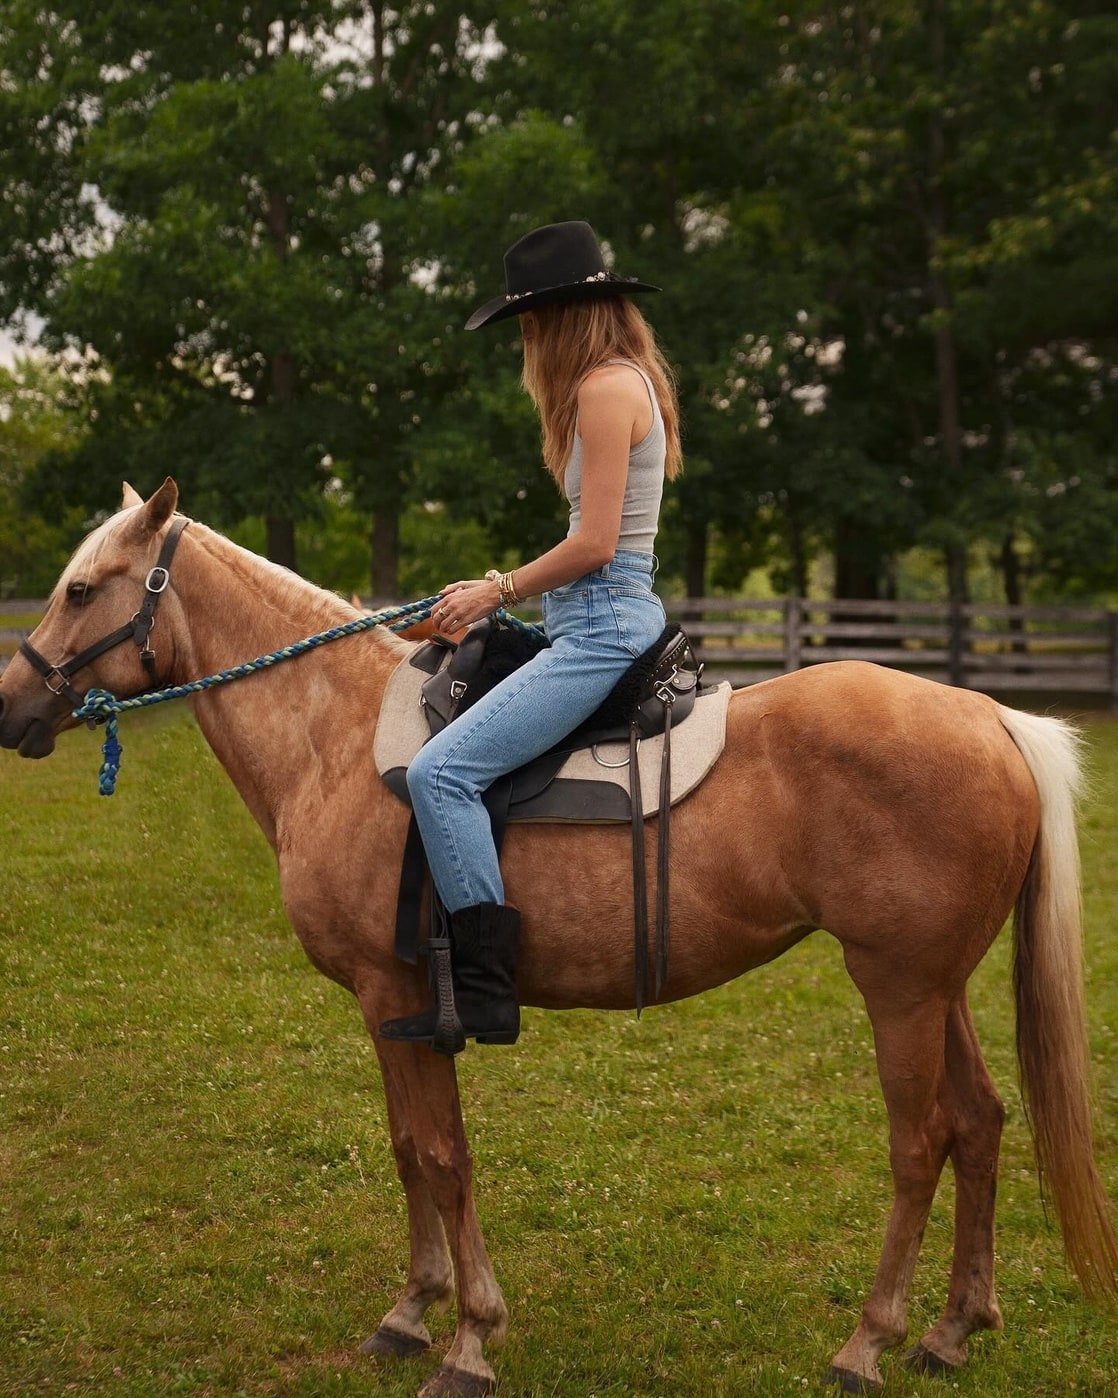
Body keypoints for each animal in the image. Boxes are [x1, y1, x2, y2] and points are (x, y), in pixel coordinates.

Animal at [0, 478, 1112, 1386]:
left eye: (83, 590)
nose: (12, 711)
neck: (334, 736)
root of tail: (989, 717)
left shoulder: (397, 994)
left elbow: (441, 1155)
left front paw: (469, 1338)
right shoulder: (396, 1009)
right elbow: (410, 1150)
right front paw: (411, 1312)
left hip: (897, 988)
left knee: (921, 1142)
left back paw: (868, 1342)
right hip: (938, 987)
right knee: (980, 1124)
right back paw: (950, 1332)